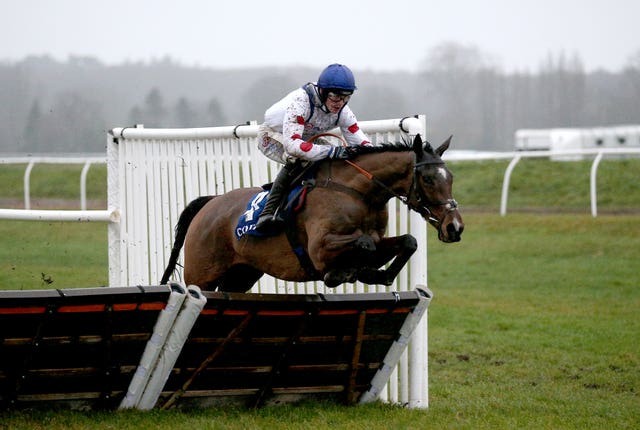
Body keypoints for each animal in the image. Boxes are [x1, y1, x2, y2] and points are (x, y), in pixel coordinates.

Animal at [159, 134, 460, 292]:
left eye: (451, 178)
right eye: (428, 179)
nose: (455, 227)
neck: (358, 192)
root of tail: (210, 203)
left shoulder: (380, 239)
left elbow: (407, 241)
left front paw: (376, 275)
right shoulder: (319, 248)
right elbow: (364, 243)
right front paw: (343, 273)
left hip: (241, 274)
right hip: (201, 276)